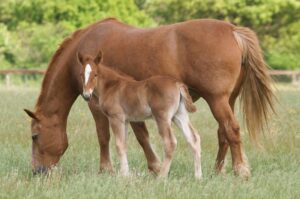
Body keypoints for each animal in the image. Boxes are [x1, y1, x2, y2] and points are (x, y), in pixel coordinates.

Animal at [78, 51, 203, 179]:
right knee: (193, 138)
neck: (111, 86)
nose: (87, 95)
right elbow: (124, 145)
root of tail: (177, 84)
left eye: (95, 74)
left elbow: (119, 145)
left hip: (162, 117)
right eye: (81, 74)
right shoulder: (125, 120)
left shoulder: (115, 118)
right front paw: (126, 174)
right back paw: (198, 176)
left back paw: (161, 177)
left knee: (170, 142)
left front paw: (123, 175)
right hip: (179, 115)